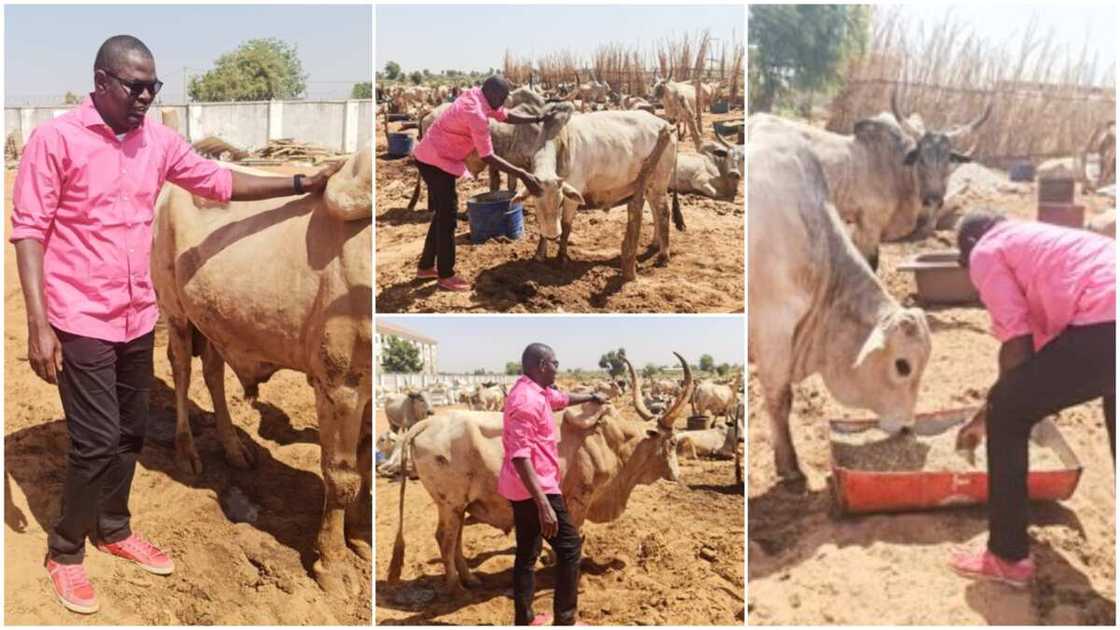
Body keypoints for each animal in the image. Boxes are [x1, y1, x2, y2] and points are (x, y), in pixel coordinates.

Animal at [389, 356, 694, 591]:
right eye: (672, 442)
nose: (678, 476)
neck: (613, 442)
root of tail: (426, 423)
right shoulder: (578, 501)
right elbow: (576, 536)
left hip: (459, 505)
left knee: (456, 540)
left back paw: (470, 579)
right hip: (450, 502)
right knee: (444, 539)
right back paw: (455, 586)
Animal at [510, 108, 680, 264]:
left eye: (559, 202)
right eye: (537, 205)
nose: (552, 235)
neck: (560, 140)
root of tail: (666, 125)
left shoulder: (573, 191)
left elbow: (566, 225)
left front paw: (561, 256)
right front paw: (539, 255)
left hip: (658, 183)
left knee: (663, 212)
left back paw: (663, 254)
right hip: (648, 185)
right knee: (655, 210)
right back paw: (655, 243)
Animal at [748, 91, 994, 269]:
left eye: (948, 161)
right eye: (921, 159)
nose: (932, 199)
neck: (897, 172)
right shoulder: (869, 226)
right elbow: (870, 265)